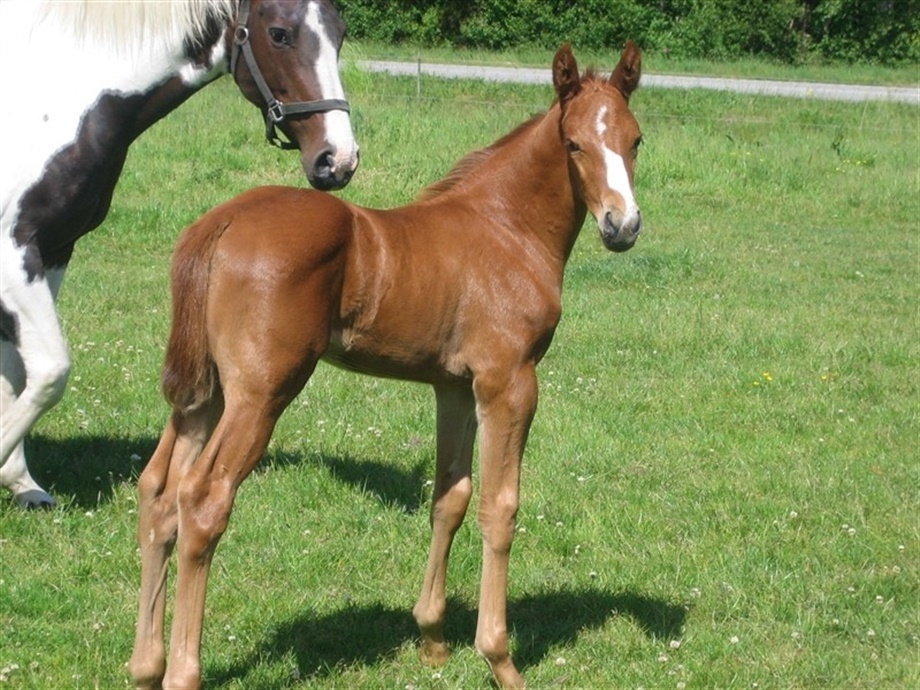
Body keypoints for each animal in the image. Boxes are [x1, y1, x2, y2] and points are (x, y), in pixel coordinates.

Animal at [0, 0, 360, 509]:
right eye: (279, 34)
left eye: (340, 33)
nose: (339, 159)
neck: (58, 92)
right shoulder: (13, 253)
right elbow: (50, 370)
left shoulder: (51, 250)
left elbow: (18, 373)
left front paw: (22, 484)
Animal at [130, 42, 642, 689]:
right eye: (574, 144)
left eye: (635, 140)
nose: (622, 226)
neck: (506, 228)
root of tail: (219, 222)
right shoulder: (509, 382)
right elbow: (500, 507)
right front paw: (499, 657)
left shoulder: (454, 387)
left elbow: (451, 496)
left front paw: (433, 640)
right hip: (261, 393)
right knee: (202, 500)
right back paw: (183, 671)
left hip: (205, 392)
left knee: (158, 491)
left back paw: (146, 665)